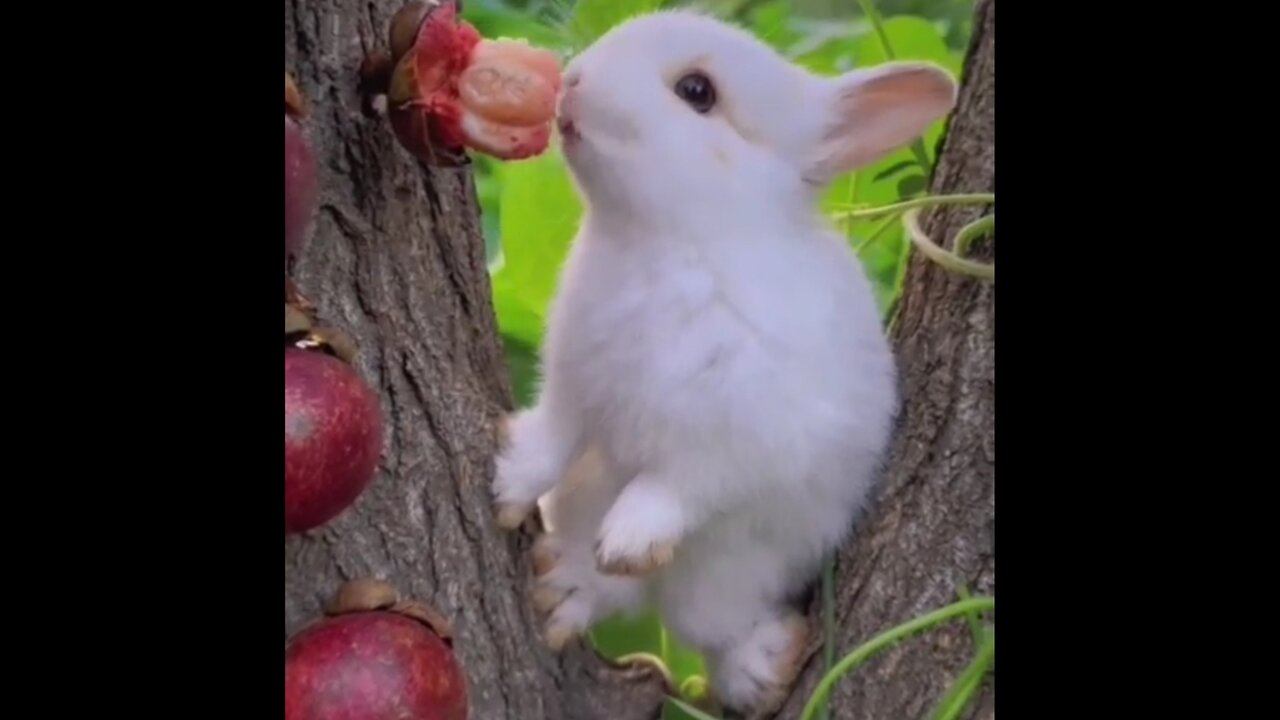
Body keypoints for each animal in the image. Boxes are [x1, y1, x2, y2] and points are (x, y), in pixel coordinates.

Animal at [494, 9, 957, 712]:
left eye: (697, 92)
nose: (572, 81)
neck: (675, 245)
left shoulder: (744, 436)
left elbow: (678, 485)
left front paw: (627, 539)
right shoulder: (574, 386)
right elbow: (553, 440)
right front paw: (508, 485)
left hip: (737, 571)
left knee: (707, 624)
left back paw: (761, 668)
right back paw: (565, 587)